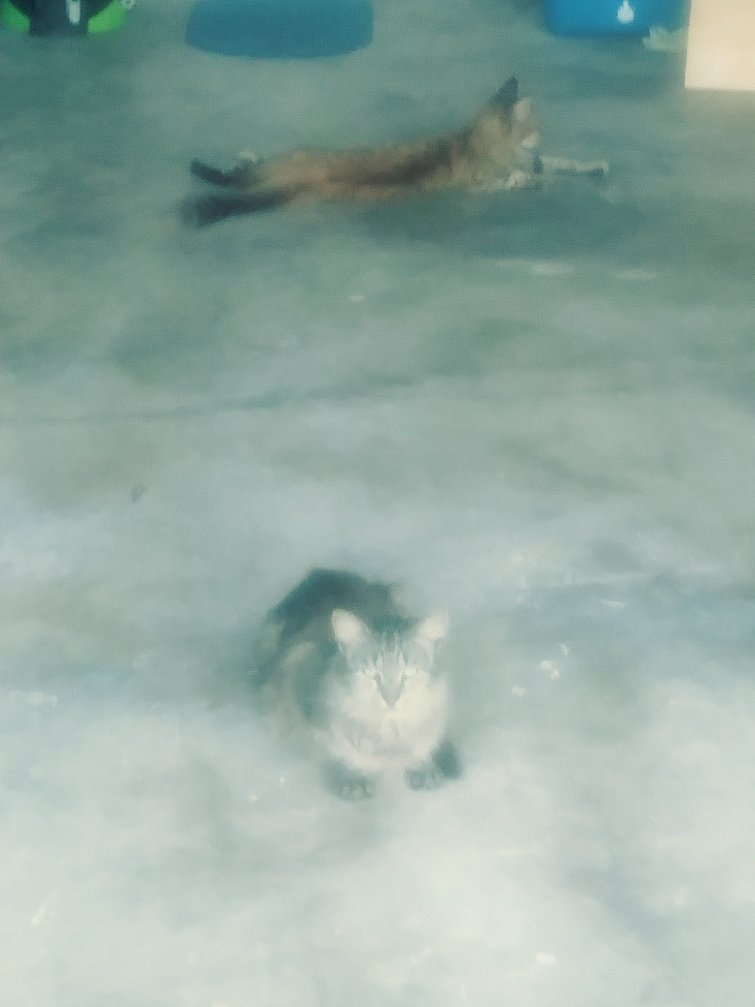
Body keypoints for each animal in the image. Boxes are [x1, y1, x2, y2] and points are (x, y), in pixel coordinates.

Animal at [182, 75, 608, 226]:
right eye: (538, 127)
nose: (545, 133)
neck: (477, 139)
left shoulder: (534, 161)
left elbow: (561, 163)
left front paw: (590, 166)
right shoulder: (479, 185)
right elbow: (526, 178)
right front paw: (536, 182)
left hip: (277, 166)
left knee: (236, 175)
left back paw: (223, 163)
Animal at [253, 568, 461, 800]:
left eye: (407, 674)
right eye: (372, 674)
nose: (391, 700)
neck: (390, 734)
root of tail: (321, 573)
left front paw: (423, 764)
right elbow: (333, 747)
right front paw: (351, 776)